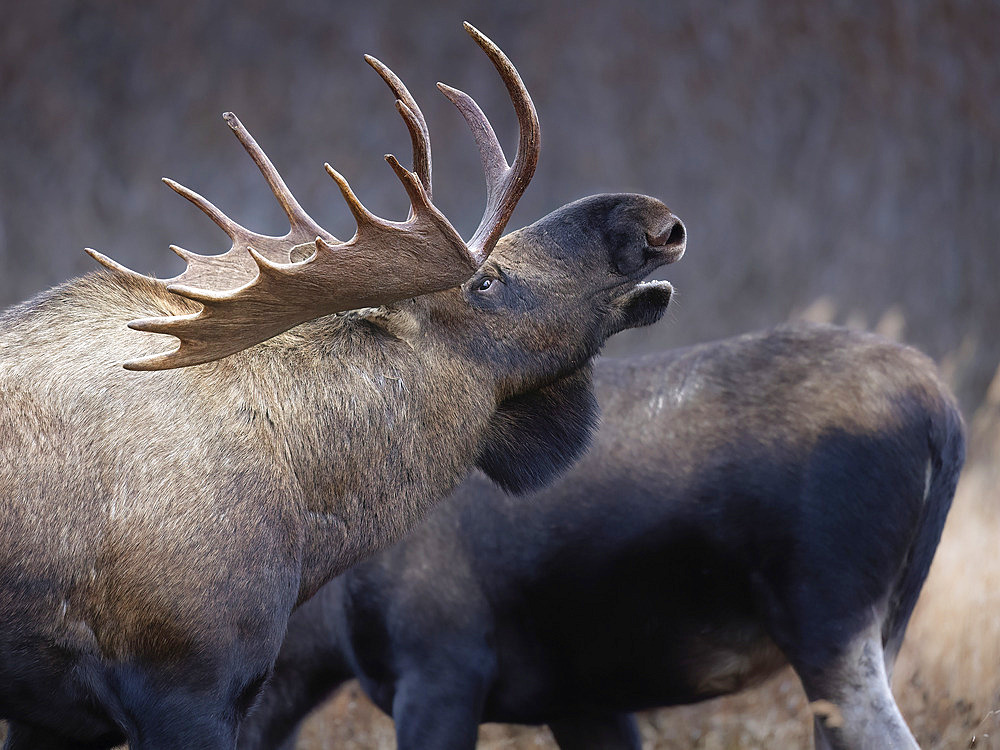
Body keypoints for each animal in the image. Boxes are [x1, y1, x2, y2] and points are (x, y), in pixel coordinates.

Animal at [238, 326, 964, 750]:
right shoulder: (581, 701)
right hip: (885, 627)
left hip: (829, 621)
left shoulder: (439, 670)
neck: (324, 636)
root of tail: (944, 417)